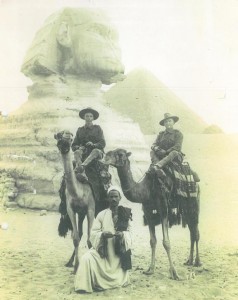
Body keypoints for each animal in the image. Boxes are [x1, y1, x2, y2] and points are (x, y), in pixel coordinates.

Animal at [54, 130, 96, 274]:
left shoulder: (91, 209)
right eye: (58, 137)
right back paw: (70, 262)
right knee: (80, 234)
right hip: (80, 213)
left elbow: (89, 240)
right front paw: (76, 267)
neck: (78, 192)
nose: (64, 145)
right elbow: (76, 238)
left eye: (71, 138)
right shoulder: (71, 209)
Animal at [102, 149, 201, 280]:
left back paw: (198, 262)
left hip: (194, 206)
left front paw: (174, 273)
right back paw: (189, 261)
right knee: (192, 233)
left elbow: (166, 243)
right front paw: (150, 269)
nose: (105, 158)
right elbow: (152, 241)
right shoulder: (148, 213)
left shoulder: (164, 209)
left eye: (120, 154)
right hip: (186, 210)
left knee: (196, 233)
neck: (147, 190)